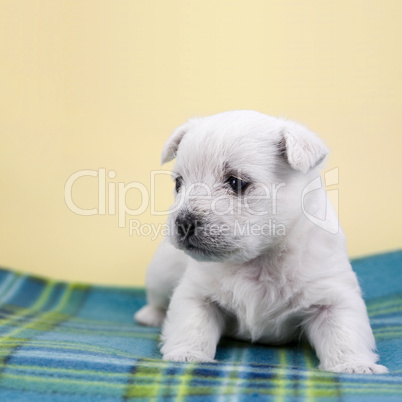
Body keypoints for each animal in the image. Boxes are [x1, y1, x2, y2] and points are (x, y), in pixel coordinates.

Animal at [134, 110, 386, 374]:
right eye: (178, 183)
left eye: (235, 182)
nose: (183, 222)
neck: (258, 261)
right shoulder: (197, 293)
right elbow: (192, 325)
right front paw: (186, 354)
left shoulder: (331, 295)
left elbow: (343, 333)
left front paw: (355, 365)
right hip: (161, 273)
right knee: (157, 298)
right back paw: (150, 315)